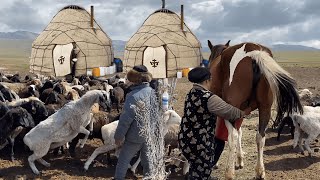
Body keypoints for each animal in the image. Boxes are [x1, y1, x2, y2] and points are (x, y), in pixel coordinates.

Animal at [208, 40, 302, 179]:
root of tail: (253, 52)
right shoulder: (241, 112)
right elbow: (240, 132)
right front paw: (240, 159)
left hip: (232, 110)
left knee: (232, 137)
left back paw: (229, 173)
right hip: (265, 108)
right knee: (260, 137)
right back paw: (260, 171)